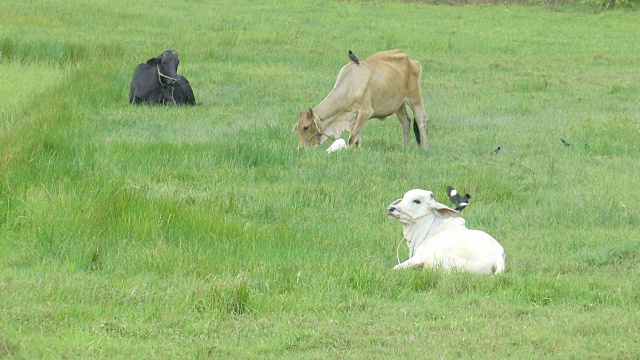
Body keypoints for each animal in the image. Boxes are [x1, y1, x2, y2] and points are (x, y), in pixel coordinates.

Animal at [296, 48, 430, 149]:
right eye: (297, 127)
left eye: (306, 127)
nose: (301, 148)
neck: (350, 84)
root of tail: (411, 59)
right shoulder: (354, 117)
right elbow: (357, 138)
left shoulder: (365, 112)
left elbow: (352, 138)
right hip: (399, 104)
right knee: (405, 122)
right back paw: (405, 148)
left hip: (414, 98)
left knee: (421, 121)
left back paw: (425, 148)